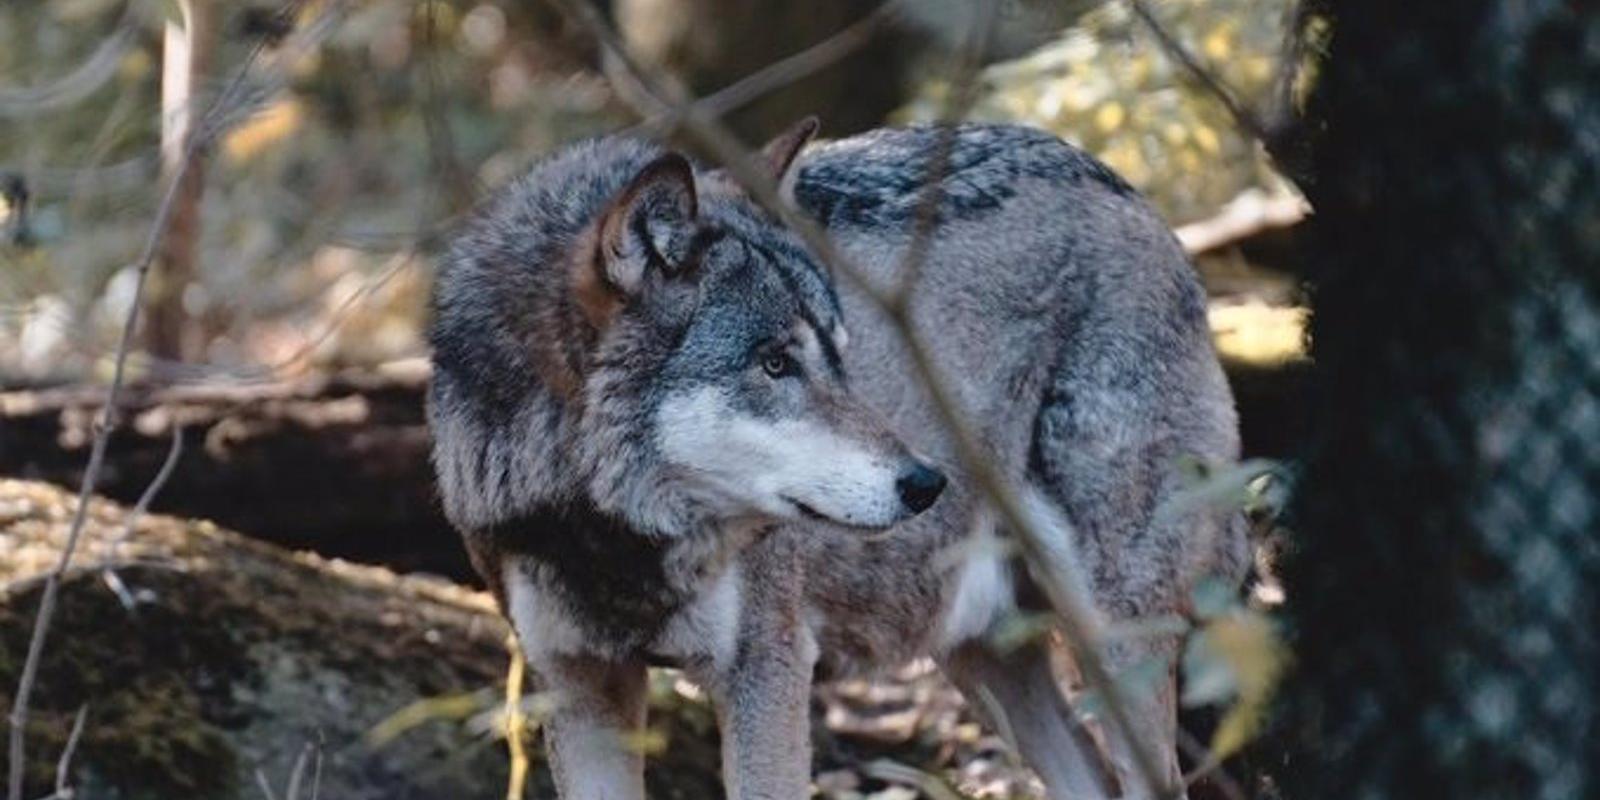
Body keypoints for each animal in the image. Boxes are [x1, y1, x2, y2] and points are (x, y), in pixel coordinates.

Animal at [427, 119, 1247, 799]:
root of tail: (1131, 195)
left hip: (1113, 641)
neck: (610, 539)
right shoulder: (579, 684)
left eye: (838, 358)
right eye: (775, 363)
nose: (926, 483)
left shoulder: (768, 670)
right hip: (984, 659)